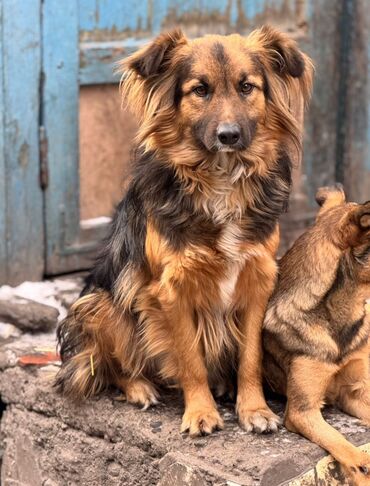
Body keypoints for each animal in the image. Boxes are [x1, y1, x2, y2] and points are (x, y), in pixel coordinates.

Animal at [56, 25, 314, 436]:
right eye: (200, 90)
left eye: (247, 87)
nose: (229, 135)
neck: (221, 178)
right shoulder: (171, 288)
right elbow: (190, 358)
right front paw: (200, 413)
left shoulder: (258, 279)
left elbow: (251, 356)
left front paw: (253, 408)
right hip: (104, 303)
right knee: (109, 363)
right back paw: (140, 387)